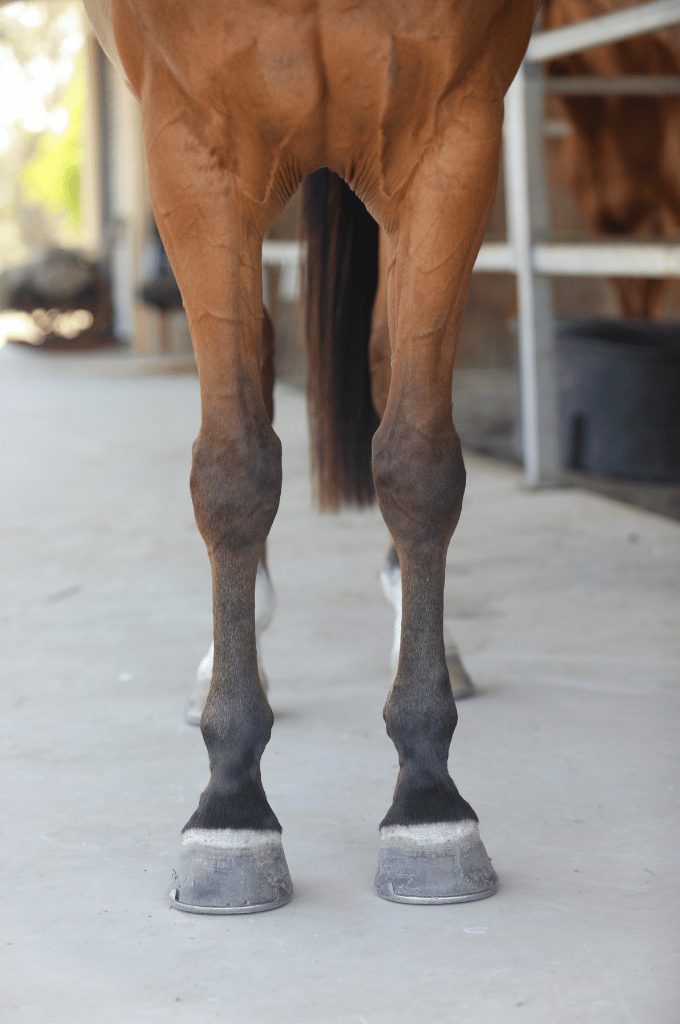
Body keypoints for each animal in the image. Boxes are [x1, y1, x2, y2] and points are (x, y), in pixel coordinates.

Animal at [83, 0, 538, 913]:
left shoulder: (453, 133)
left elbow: (419, 464)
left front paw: (429, 800)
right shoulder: (194, 146)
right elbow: (234, 471)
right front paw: (230, 809)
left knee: (384, 361)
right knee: (256, 366)